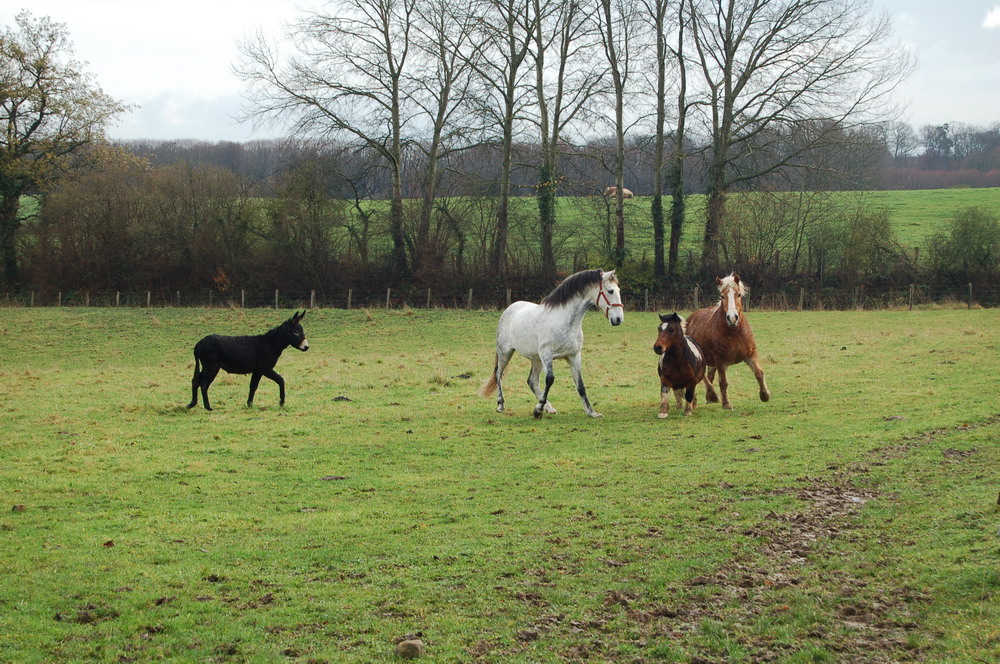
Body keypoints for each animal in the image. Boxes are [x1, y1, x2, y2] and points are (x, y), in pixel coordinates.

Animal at [478, 268, 624, 418]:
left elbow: (580, 385)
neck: (564, 320)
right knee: (498, 374)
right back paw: (501, 405)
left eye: (618, 290)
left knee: (532, 381)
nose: (618, 319)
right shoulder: (547, 354)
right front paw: (538, 410)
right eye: (610, 291)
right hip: (505, 353)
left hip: (536, 358)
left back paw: (548, 407)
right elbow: (550, 379)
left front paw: (591, 412)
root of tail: (509, 308)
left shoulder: (574, 356)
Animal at [688, 274, 772, 410]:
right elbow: (723, 382)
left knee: (709, 374)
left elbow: (759, 373)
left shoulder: (750, 354)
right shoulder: (720, 360)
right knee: (701, 377)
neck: (734, 332)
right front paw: (726, 403)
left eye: (738, 294)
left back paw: (708, 397)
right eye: (722, 296)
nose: (732, 318)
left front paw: (765, 395)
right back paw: (705, 398)